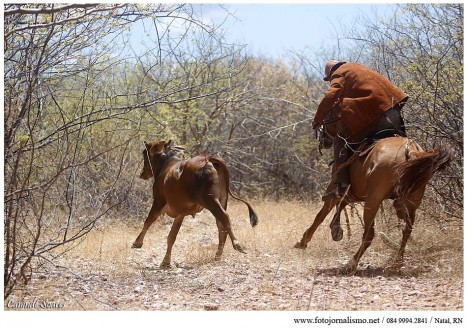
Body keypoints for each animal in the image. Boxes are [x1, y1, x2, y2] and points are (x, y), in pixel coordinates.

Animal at [132, 140, 258, 268]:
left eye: (145, 153)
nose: (142, 173)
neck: (165, 165)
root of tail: (208, 158)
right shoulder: (180, 213)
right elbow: (171, 237)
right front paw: (166, 261)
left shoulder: (158, 202)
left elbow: (148, 221)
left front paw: (137, 243)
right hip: (222, 200)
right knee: (221, 225)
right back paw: (218, 256)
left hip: (210, 200)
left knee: (225, 217)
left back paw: (237, 245)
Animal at [296, 108, 454, 274]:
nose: (323, 140)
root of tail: (411, 152)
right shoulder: (354, 193)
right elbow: (341, 204)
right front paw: (336, 229)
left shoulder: (335, 189)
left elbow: (321, 214)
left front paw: (304, 240)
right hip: (410, 203)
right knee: (407, 230)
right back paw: (397, 262)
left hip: (373, 201)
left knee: (369, 234)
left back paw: (351, 264)